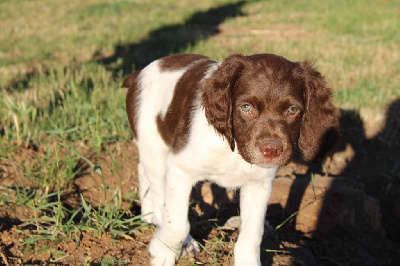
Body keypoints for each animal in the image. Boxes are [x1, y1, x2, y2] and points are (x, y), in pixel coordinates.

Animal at [123, 53, 340, 264]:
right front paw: (162, 251)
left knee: (144, 173)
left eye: (292, 111)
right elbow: (177, 222)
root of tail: (140, 73)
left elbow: (252, 234)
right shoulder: (180, 169)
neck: (234, 151)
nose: (272, 150)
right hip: (153, 146)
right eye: (246, 107)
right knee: (158, 191)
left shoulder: (259, 184)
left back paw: (149, 214)